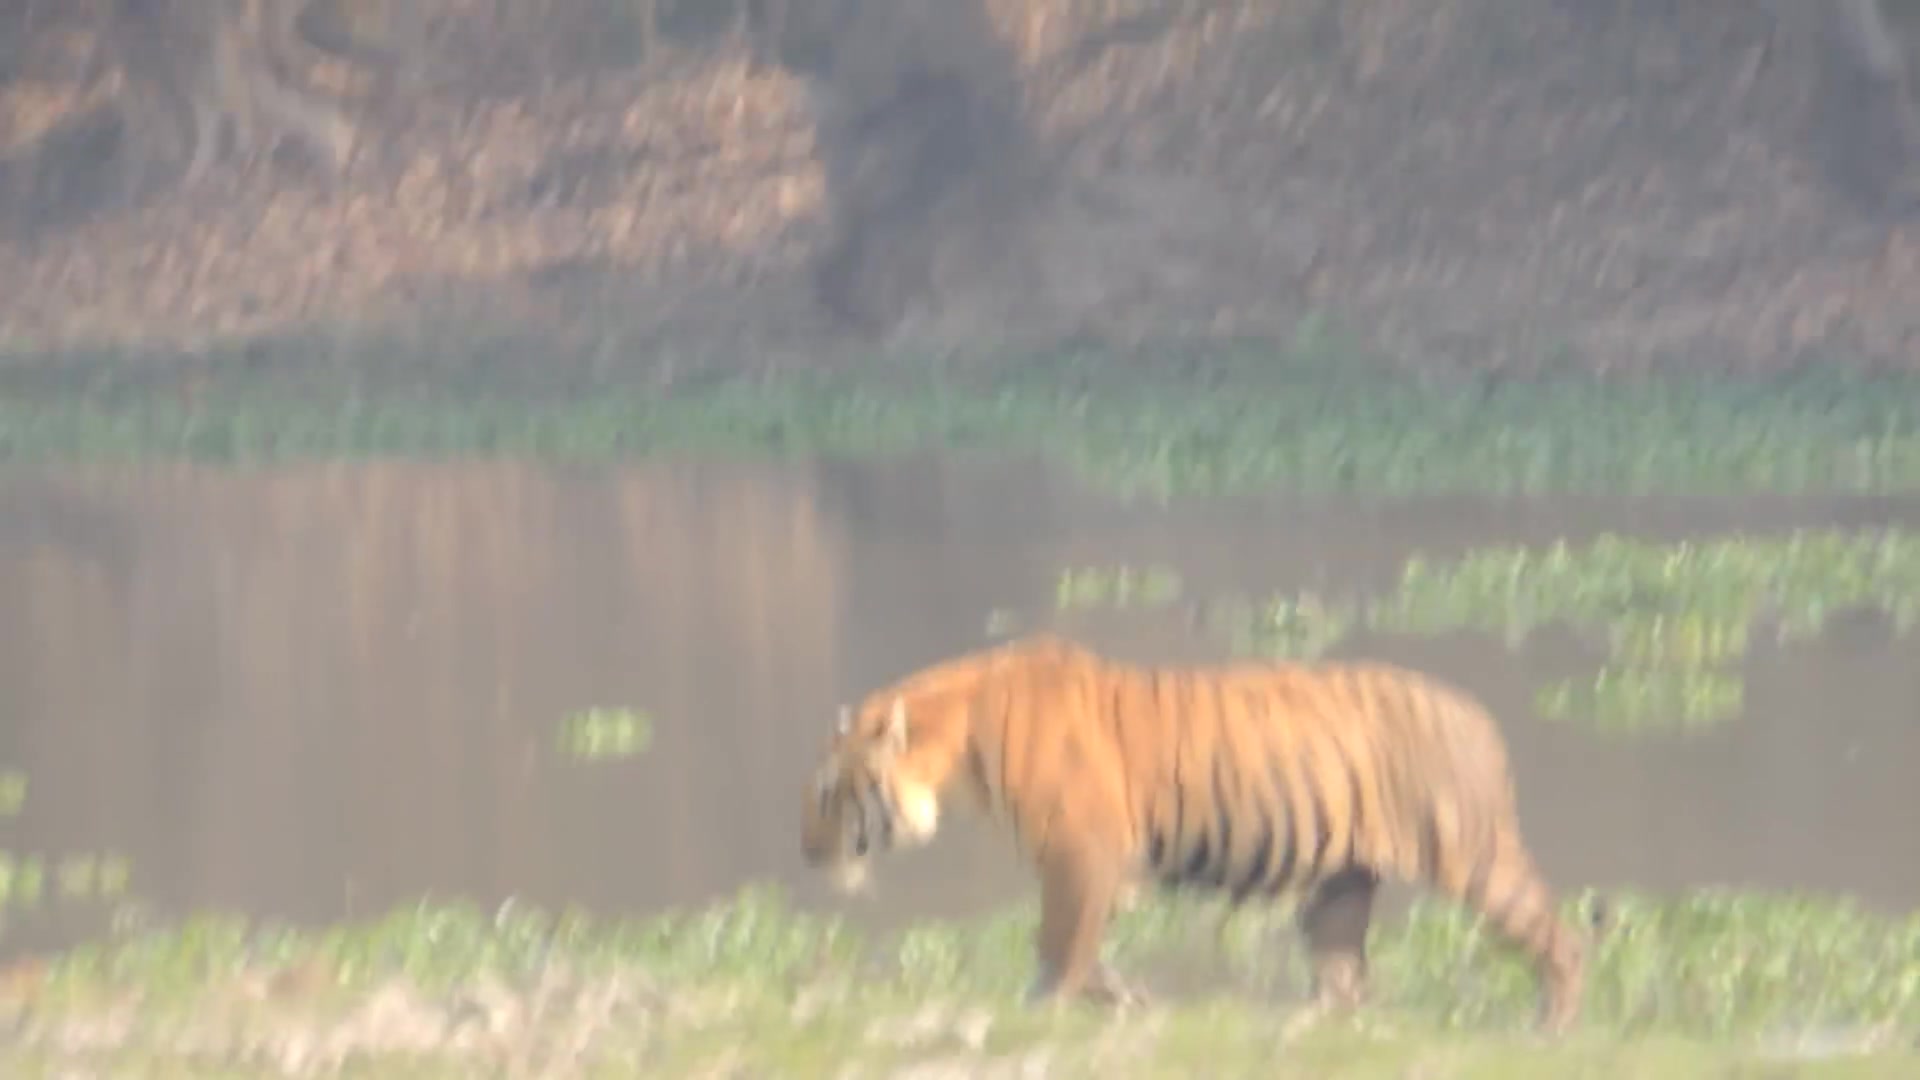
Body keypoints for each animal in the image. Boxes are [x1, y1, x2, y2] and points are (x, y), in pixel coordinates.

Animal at [794, 634, 1589, 1030]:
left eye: (831, 793)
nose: (805, 852)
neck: (956, 748)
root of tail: (1480, 718)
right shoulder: (1104, 865)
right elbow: (1080, 944)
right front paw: (1122, 999)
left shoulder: (1080, 851)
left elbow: (1057, 944)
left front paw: (1045, 1009)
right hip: (1339, 886)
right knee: (1343, 975)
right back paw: (1304, 1029)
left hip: (1474, 859)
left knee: (1560, 937)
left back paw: (1550, 1030)